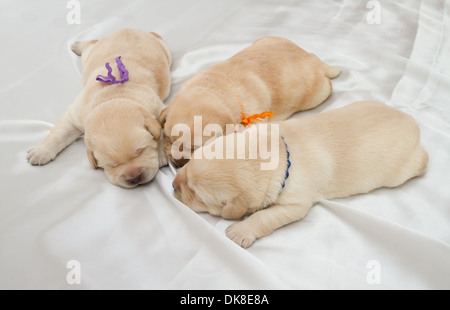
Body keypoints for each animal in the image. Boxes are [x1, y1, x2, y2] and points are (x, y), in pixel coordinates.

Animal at [26, 28, 171, 189]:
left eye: (140, 151)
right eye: (111, 164)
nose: (135, 178)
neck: (113, 96)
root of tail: (128, 29)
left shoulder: (157, 106)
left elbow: (162, 129)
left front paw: (161, 153)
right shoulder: (76, 116)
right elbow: (59, 133)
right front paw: (40, 151)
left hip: (164, 50)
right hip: (90, 54)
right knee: (90, 44)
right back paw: (77, 44)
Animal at [160, 36, 340, 167]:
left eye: (196, 148)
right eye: (169, 139)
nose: (178, 164)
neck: (216, 90)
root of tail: (313, 59)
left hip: (318, 94)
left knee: (327, 84)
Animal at [172, 101, 428, 247]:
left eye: (197, 194)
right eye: (191, 161)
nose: (173, 185)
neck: (275, 151)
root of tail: (413, 122)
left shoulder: (295, 204)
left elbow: (265, 216)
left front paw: (241, 231)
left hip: (399, 171)